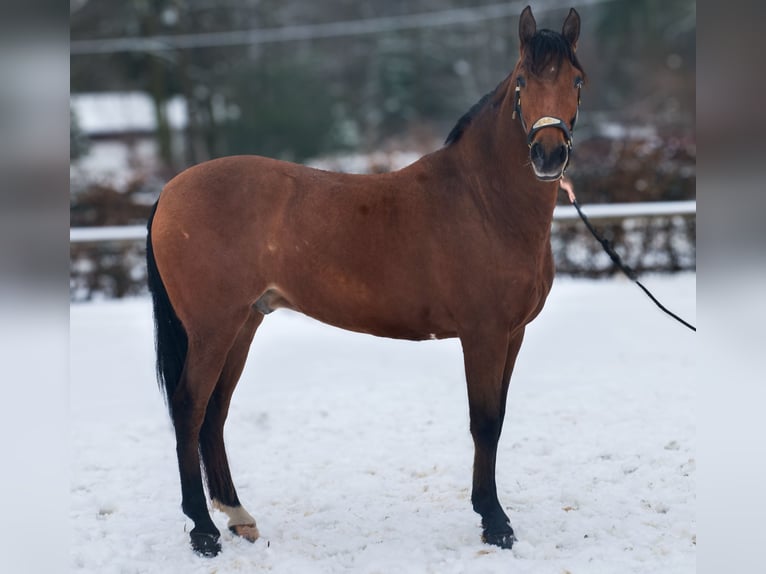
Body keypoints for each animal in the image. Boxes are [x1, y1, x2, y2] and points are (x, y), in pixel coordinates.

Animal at [146, 5, 585, 557]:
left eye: (577, 80)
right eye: (524, 81)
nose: (549, 155)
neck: (483, 200)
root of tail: (170, 190)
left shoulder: (513, 334)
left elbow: (498, 419)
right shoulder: (483, 335)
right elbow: (483, 422)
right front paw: (495, 521)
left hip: (242, 324)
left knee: (215, 412)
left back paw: (238, 516)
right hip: (212, 328)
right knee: (189, 408)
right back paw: (203, 530)